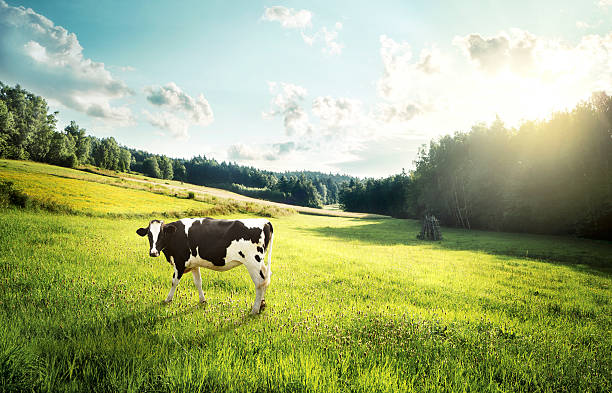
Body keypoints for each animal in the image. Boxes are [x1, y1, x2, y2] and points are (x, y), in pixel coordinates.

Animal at [139, 216, 274, 314]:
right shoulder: (194, 264)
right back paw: (262, 305)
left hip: (253, 262)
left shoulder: (180, 262)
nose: (153, 253)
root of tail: (264, 221)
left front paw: (167, 300)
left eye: (162, 234)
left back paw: (255, 310)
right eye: (149, 235)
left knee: (259, 283)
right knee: (266, 279)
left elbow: (174, 282)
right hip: (260, 263)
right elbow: (198, 282)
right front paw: (202, 300)